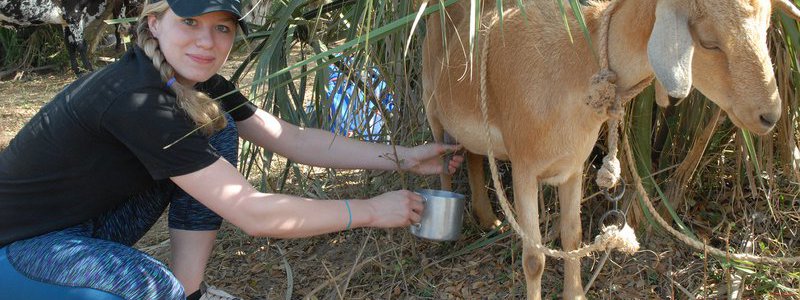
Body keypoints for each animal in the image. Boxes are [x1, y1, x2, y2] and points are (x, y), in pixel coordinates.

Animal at [422, 0, 800, 298]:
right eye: (708, 41)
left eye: (767, 27)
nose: (770, 115)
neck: (575, 64)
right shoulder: (524, 167)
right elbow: (534, 257)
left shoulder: (573, 165)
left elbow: (572, 238)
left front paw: (575, 294)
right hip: (432, 104)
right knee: (441, 160)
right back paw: (443, 234)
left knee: (473, 155)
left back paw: (489, 219)